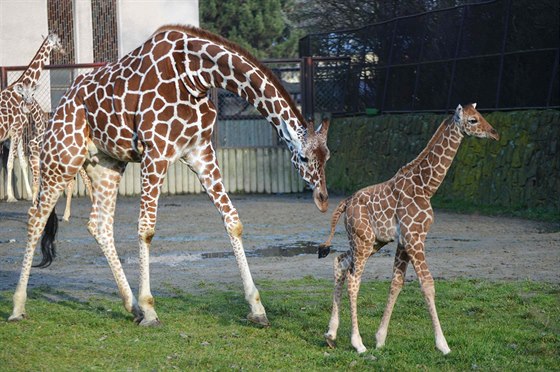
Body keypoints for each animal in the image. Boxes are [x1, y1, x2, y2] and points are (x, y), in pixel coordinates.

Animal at [7, 25, 328, 326]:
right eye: (303, 157)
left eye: (328, 155)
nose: (323, 199)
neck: (196, 75)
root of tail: (61, 103)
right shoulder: (156, 153)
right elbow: (146, 229)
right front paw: (150, 310)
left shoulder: (200, 152)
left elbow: (233, 221)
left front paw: (257, 308)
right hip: (63, 156)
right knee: (36, 217)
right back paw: (18, 307)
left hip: (106, 164)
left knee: (99, 224)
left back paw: (131, 306)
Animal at [320, 103, 498, 354]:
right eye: (473, 120)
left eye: (480, 115)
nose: (494, 133)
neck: (426, 186)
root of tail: (345, 203)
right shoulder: (415, 237)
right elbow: (428, 284)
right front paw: (443, 345)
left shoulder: (404, 241)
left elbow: (396, 283)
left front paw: (380, 338)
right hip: (363, 241)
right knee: (354, 279)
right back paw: (357, 343)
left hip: (370, 242)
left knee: (340, 262)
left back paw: (331, 333)